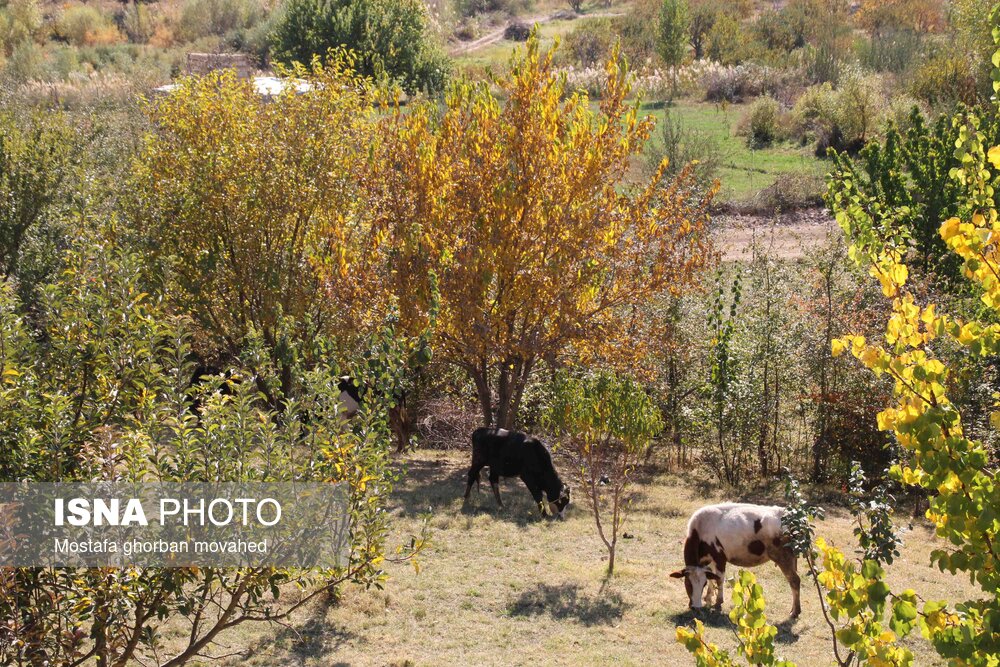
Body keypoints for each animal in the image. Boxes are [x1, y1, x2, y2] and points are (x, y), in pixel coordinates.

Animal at [672, 504, 804, 620]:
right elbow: (711, 578)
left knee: (794, 581)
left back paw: (795, 612)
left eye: (701, 584)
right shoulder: (708, 561)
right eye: (687, 583)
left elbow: (719, 579)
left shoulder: (720, 557)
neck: (700, 530)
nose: (695, 606)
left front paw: (718, 603)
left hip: (783, 556)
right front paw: (708, 598)